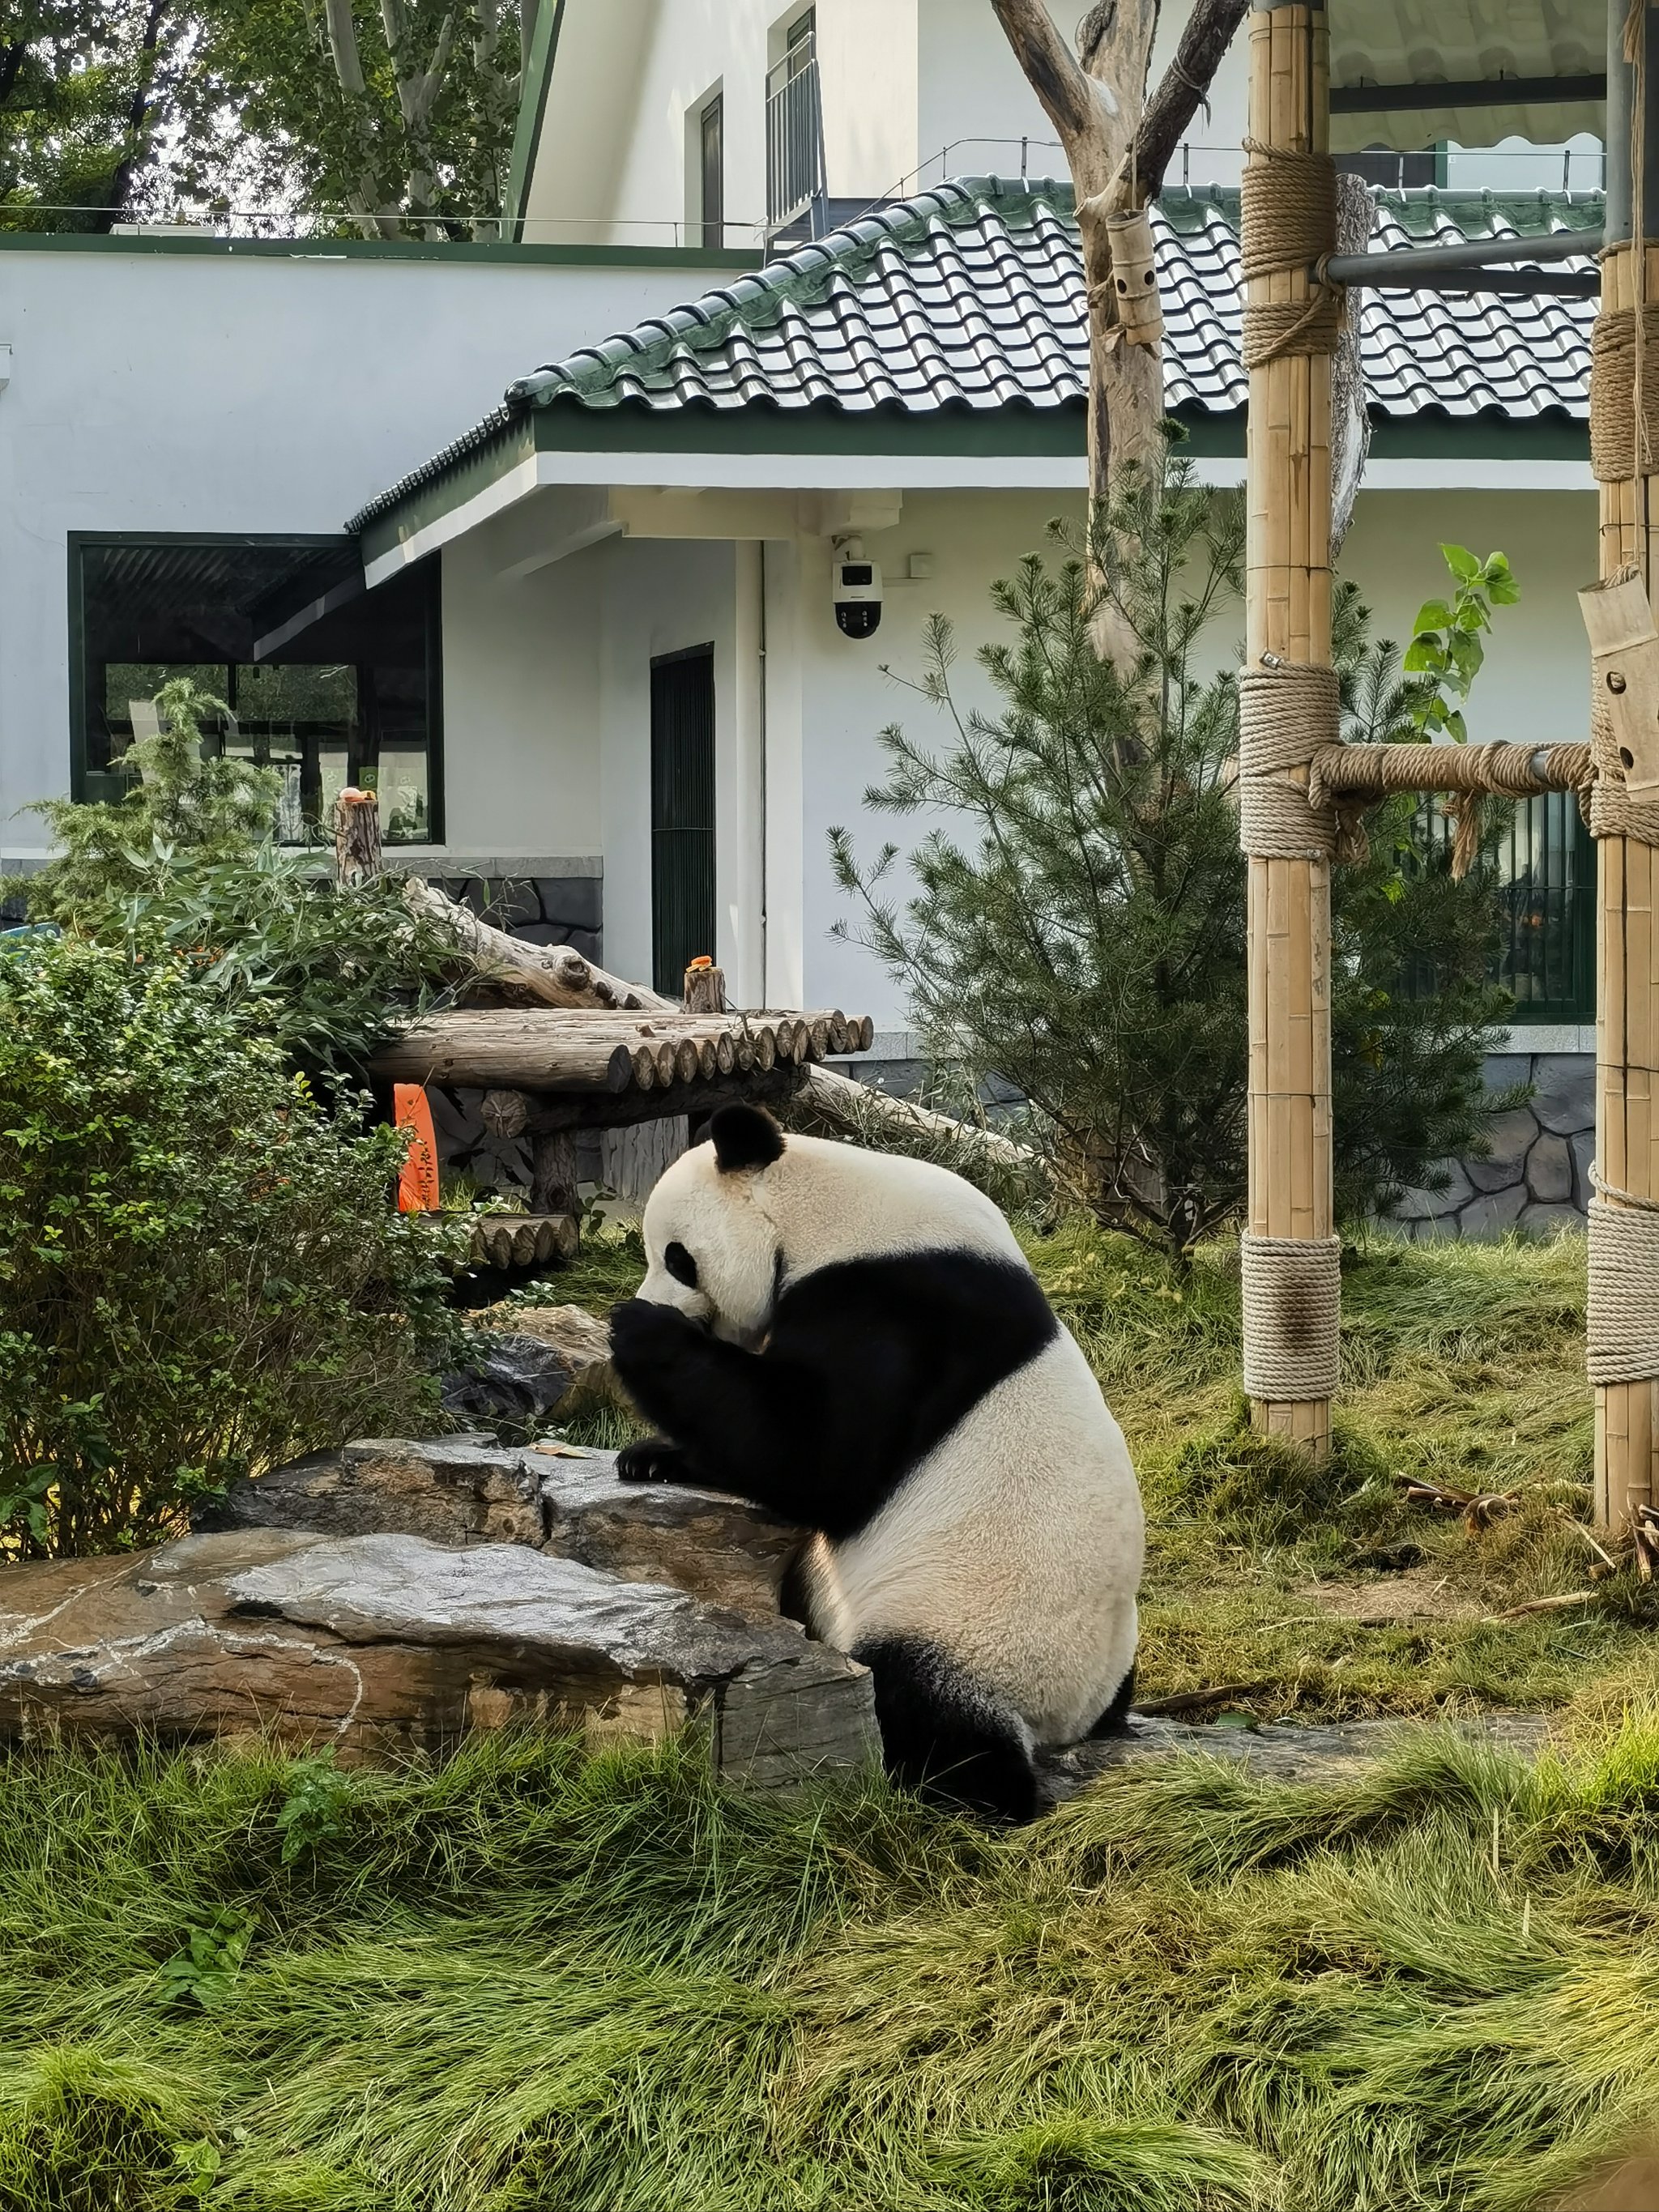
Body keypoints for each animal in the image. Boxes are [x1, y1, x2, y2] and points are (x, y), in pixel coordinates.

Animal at [610, 1097, 1141, 1822]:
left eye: (677, 1257)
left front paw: (637, 1331)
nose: (655, 1299)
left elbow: (816, 1455)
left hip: (968, 1627)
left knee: (921, 1705)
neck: (825, 1205)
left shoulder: (894, 1308)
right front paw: (650, 1457)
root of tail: (1067, 1722)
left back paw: (967, 1787)